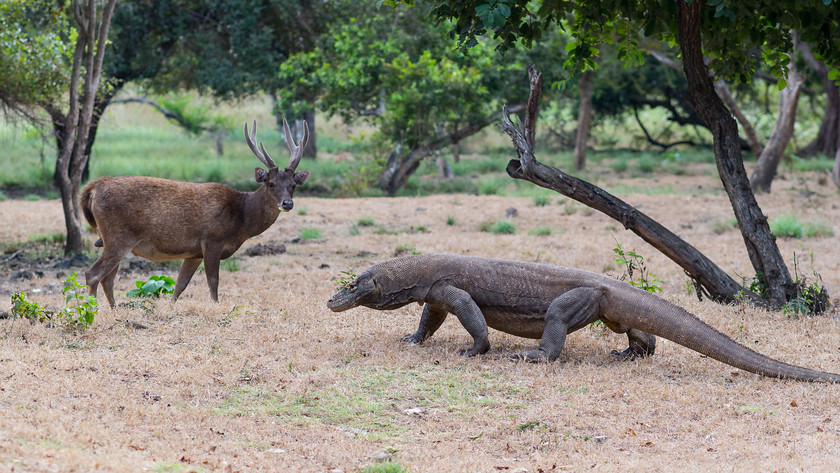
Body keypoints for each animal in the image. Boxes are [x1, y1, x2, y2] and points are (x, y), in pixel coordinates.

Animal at [81, 120, 312, 308]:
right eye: (270, 183)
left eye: (293, 185)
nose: (287, 203)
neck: (241, 219)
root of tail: (94, 187)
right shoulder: (212, 239)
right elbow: (213, 281)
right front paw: (216, 306)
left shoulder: (194, 252)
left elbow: (180, 284)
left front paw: (170, 307)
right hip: (118, 236)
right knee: (93, 273)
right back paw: (92, 310)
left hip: (112, 238)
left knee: (108, 278)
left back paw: (114, 310)